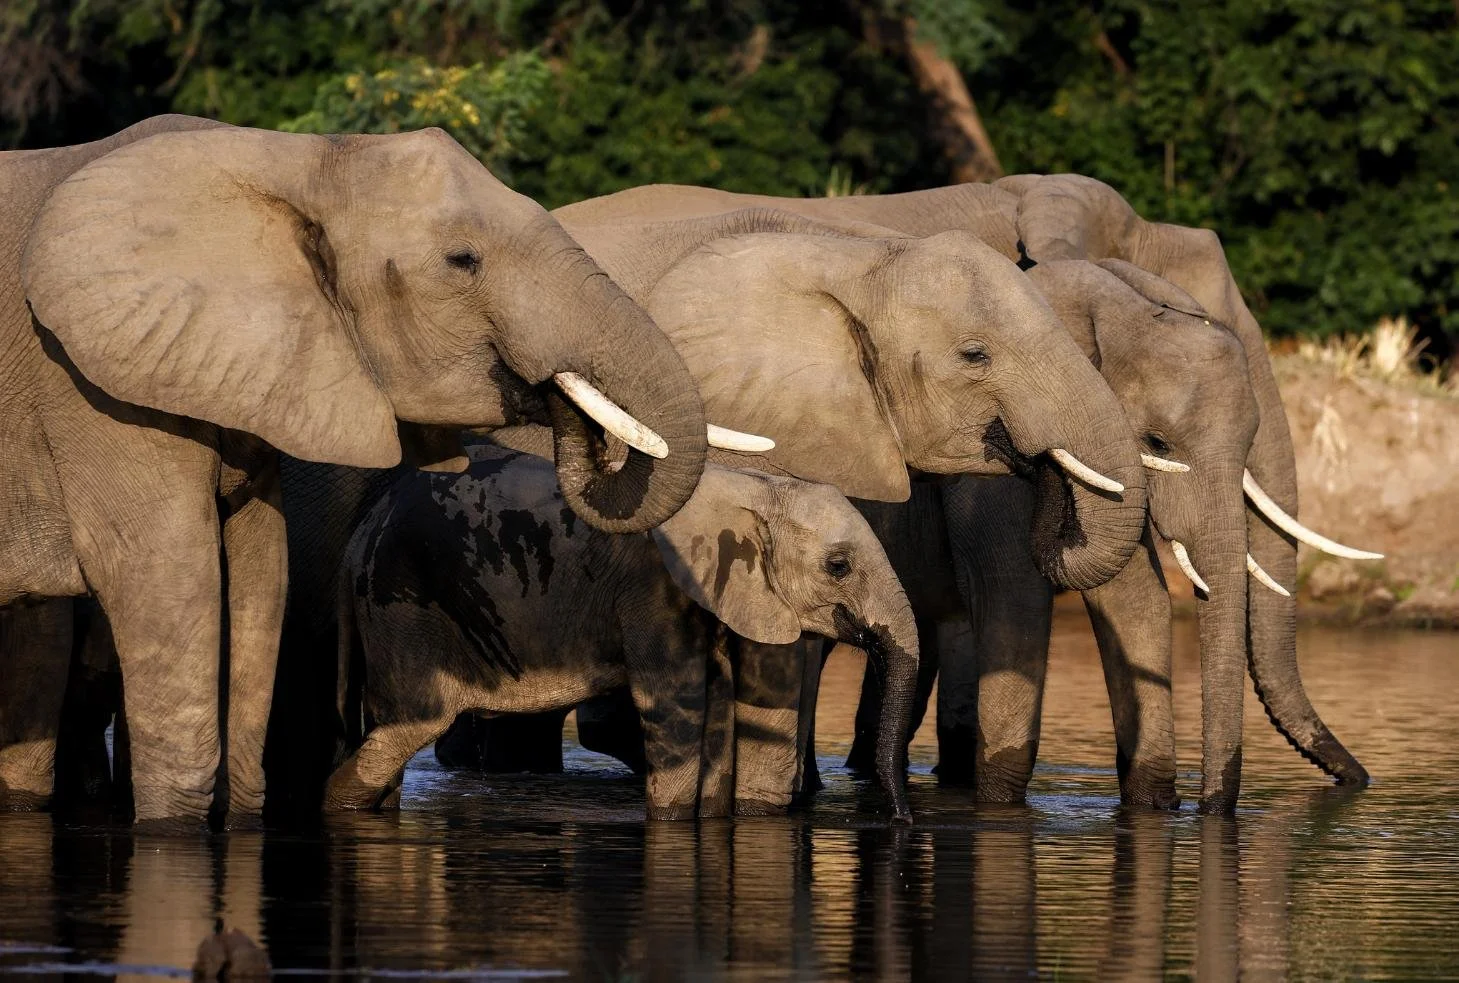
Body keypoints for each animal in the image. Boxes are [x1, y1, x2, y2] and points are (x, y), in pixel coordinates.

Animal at [0, 115, 717, 825]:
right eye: (463, 260)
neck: (293, 158)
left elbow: (262, 575)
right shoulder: (94, 392)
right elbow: (166, 575)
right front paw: (172, 829)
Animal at [325, 435, 920, 819]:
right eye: (838, 566)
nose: (900, 821)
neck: (751, 486)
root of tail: (357, 538)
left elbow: (735, 709)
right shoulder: (651, 588)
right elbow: (679, 703)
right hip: (401, 605)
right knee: (410, 726)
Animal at [555, 179, 1379, 812]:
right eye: (1159, 443)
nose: (1215, 809)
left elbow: (1130, 599)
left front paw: (1152, 804)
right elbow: (1018, 593)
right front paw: (1001, 803)